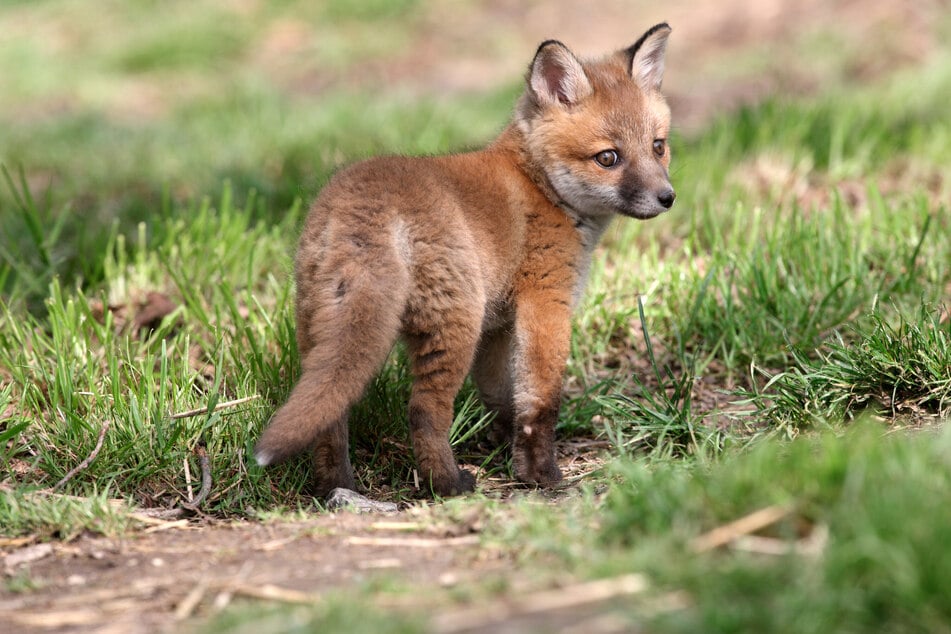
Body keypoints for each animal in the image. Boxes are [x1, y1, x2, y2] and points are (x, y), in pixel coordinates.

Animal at [254, 23, 675, 498]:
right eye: (608, 157)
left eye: (658, 147)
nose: (667, 198)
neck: (539, 184)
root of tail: (362, 205)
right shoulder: (545, 302)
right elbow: (539, 401)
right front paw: (539, 473)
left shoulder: (498, 328)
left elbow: (501, 397)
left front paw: (505, 449)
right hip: (455, 324)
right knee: (424, 410)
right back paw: (447, 483)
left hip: (322, 327)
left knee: (331, 411)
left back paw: (337, 487)